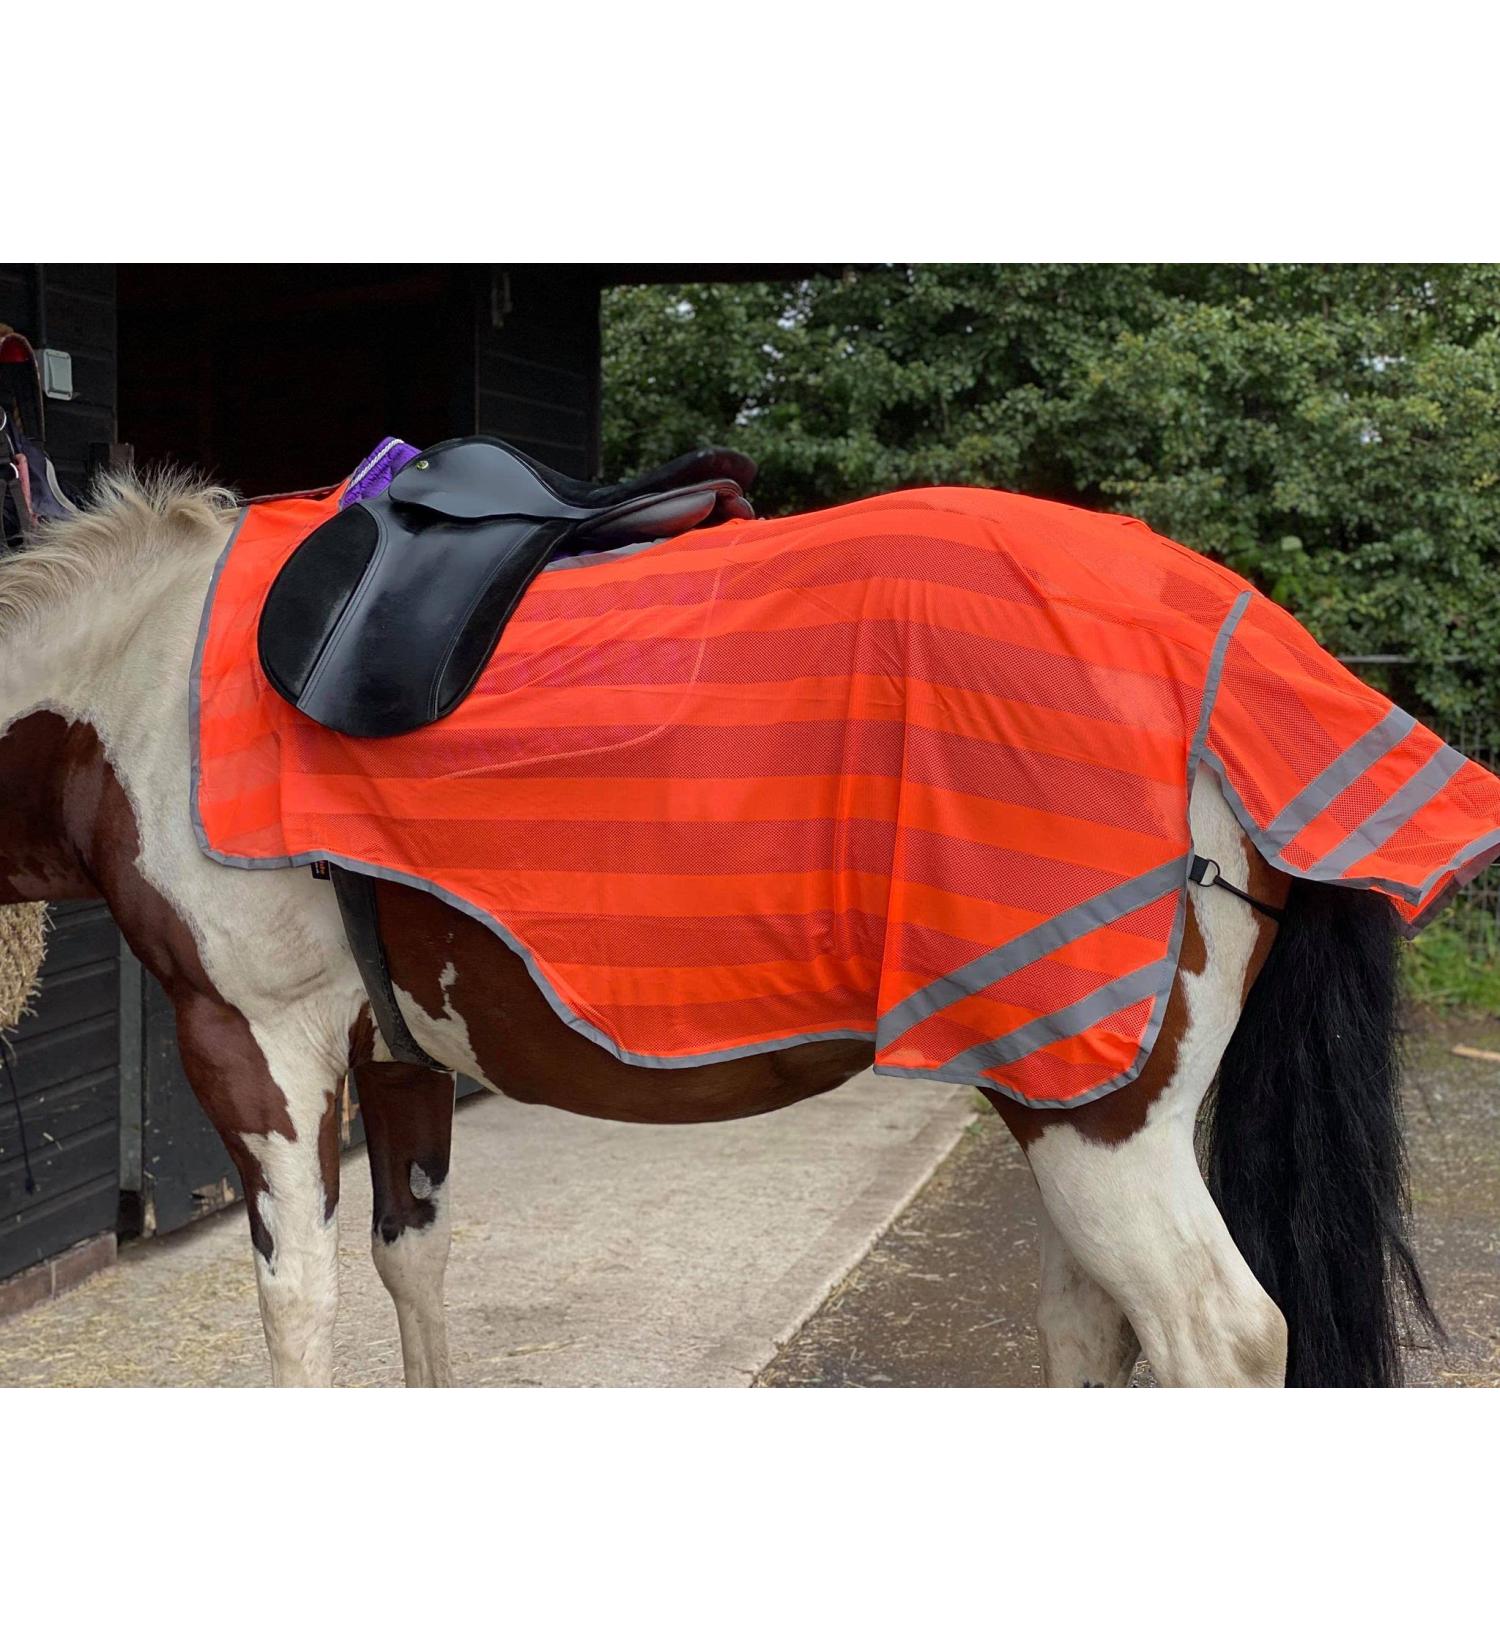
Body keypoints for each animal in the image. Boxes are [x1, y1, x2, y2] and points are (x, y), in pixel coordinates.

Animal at [0, 470, 1439, 1387]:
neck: (139, 680)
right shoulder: (399, 1057)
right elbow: (416, 1269)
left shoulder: (256, 1044)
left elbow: (298, 1305)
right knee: (1089, 1323)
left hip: (1099, 1109)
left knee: (1218, 1337)